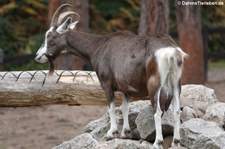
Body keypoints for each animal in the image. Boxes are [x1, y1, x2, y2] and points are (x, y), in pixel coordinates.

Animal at [34, 4, 186, 148]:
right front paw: (125, 133)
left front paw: (111, 133)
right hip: (176, 84)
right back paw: (176, 142)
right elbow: (125, 108)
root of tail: (170, 51)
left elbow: (111, 107)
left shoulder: (106, 83)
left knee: (157, 111)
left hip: (155, 85)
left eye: (50, 38)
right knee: (176, 111)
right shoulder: (126, 88)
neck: (98, 45)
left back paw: (157, 142)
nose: (38, 56)